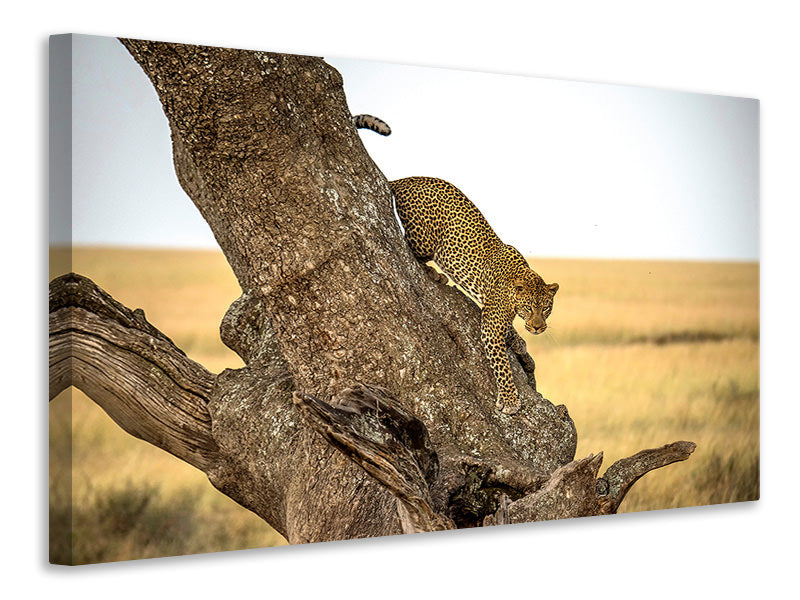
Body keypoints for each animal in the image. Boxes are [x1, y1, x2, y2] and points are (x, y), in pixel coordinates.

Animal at [389, 176, 559, 415]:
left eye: (545, 309)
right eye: (529, 308)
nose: (538, 328)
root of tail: (405, 179)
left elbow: (511, 331)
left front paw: (519, 343)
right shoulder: (491, 325)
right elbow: (502, 366)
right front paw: (510, 400)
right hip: (425, 239)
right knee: (410, 248)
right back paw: (435, 273)